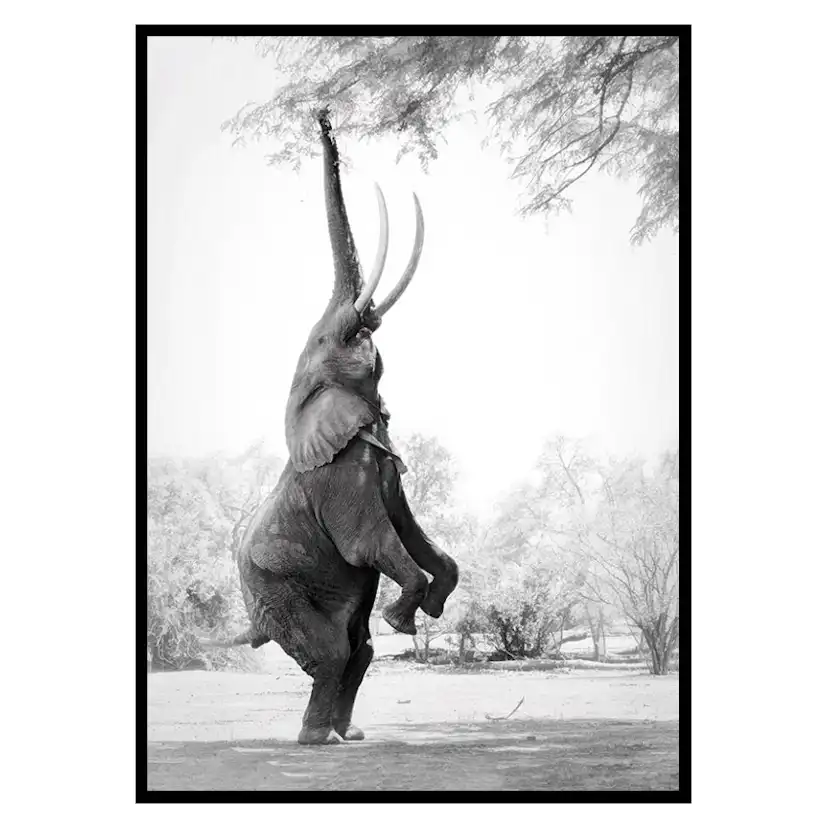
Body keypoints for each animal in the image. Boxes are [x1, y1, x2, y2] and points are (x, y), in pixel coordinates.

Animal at [202, 110, 459, 746]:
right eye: (326, 339)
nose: (323, 116)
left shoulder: (382, 466)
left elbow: (416, 533)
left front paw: (430, 607)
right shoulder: (340, 477)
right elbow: (371, 542)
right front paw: (403, 616)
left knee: (358, 650)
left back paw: (350, 735)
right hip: (275, 589)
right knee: (332, 653)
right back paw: (315, 739)